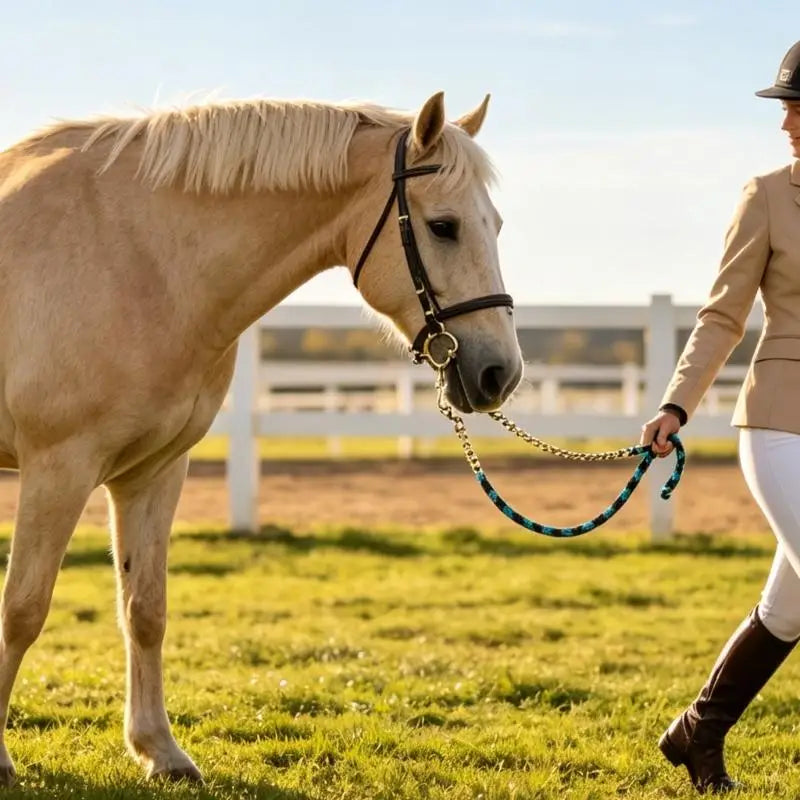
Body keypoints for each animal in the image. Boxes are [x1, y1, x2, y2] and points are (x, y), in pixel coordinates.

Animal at [0, 91, 523, 783]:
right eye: (444, 226)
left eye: (495, 224)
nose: (500, 373)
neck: (134, 256)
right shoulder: (58, 469)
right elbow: (23, 610)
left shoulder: (152, 472)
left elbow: (145, 610)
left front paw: (160, 751)